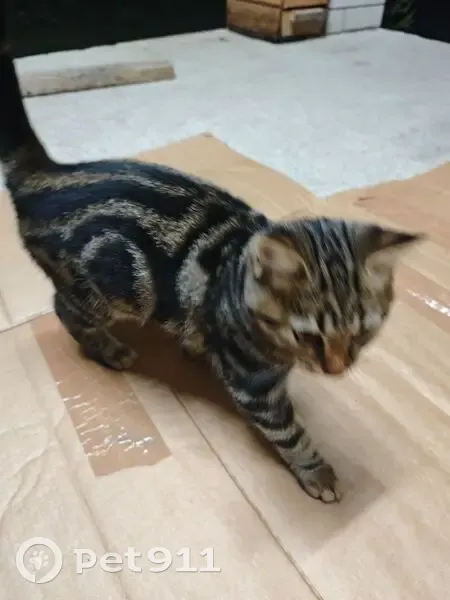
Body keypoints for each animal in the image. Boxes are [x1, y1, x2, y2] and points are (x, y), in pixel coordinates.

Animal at [0, 18, 423, 503]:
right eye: (308, 336)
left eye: (364, 332)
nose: (337, 370)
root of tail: (46, 172)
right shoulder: (256, 386)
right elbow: (290, 433)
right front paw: (317, 472)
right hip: (103, 290)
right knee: (63, 309)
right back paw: (108, 348)